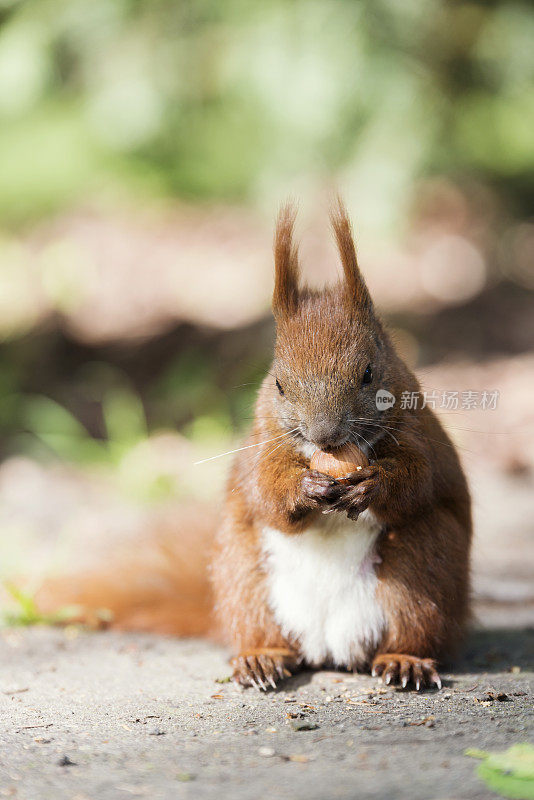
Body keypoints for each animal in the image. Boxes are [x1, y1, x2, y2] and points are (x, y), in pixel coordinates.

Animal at [38, 202, 474, 692]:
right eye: (279, 384)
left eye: (368, 373)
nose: (324, 435)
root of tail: (330, 648)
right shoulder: (260, 444)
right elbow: (266, 490)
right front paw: (305, 488)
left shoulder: (421, 433)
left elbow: (419, 479)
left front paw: (372, 485)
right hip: (244, 574)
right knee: (265, 630)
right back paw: (261, 658)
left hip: (422, 565)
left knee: (414, 622)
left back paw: (404, 659)